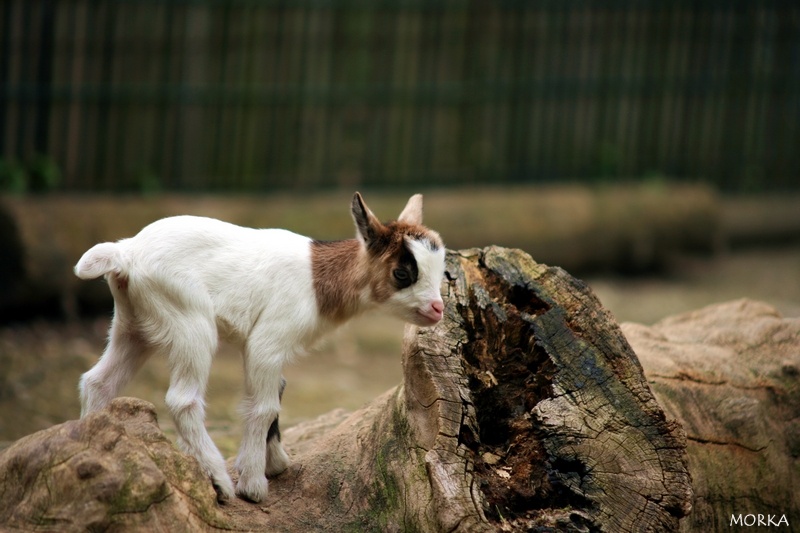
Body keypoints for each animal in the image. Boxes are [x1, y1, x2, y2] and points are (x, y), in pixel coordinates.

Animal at [75, 192, 446, 502]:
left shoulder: (263, 350)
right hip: (189, 321)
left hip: (131, 325)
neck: (319, 282)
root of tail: (127, 252)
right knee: (182, 399)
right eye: (402, 273)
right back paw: (220, 483)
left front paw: (274, 463)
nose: (437, 309)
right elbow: (265, 406)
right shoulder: (267, 343)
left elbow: (277, 392)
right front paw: (253, 486)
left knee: (99, 381)